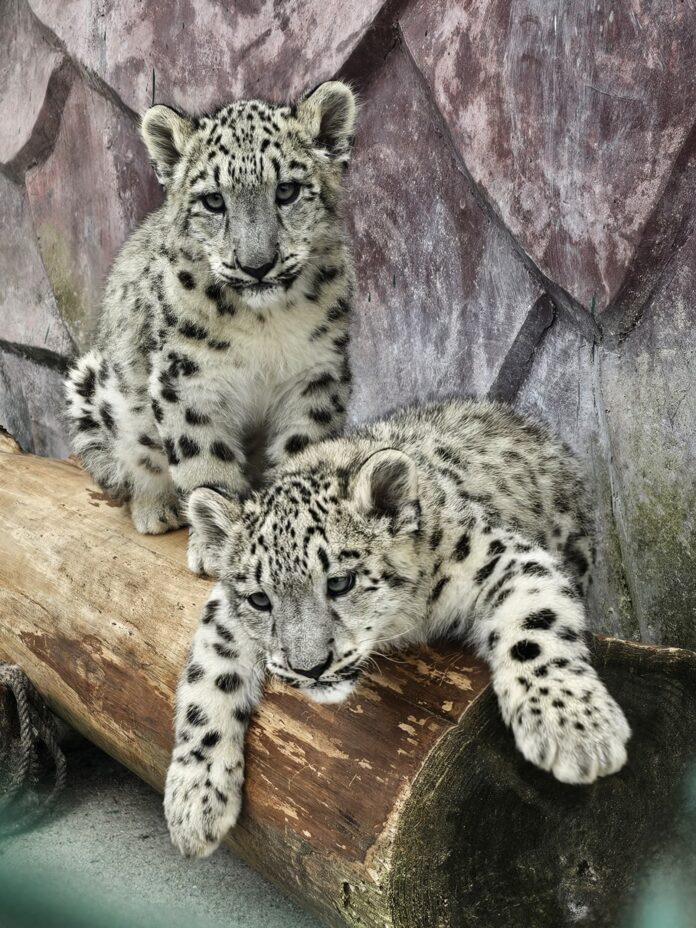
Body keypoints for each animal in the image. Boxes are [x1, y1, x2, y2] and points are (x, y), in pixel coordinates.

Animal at [65, 81, 356, 574]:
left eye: (287, 190)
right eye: (213, 200)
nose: (256, 265)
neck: (264, 323)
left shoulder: (314, 376)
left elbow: (301, 450)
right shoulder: (189, 378)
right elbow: (204, 461)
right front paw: (214, 544)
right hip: (105, 390)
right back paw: (155, 508)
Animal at [163, 397, 631, 858]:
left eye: (340, 582)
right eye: (260, 599)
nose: (310, 667)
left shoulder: (500, 558)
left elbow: (536, 626)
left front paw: (576, 731)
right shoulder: (224, 613)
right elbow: (206, 680)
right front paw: (193, 803)